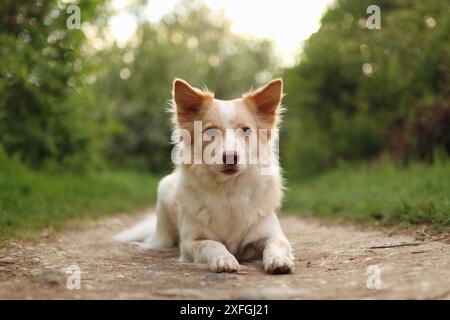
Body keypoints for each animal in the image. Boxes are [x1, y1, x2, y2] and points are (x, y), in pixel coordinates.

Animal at [114, 79, 294, 274]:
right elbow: (213, 244)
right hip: (163, 206)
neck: (229, 190)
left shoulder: (274, 235)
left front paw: (278, 260)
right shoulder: (191, 243)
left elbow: (275, 244)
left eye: (246, 130)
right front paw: (224, 259)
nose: (230, 157)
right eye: (211, 131)